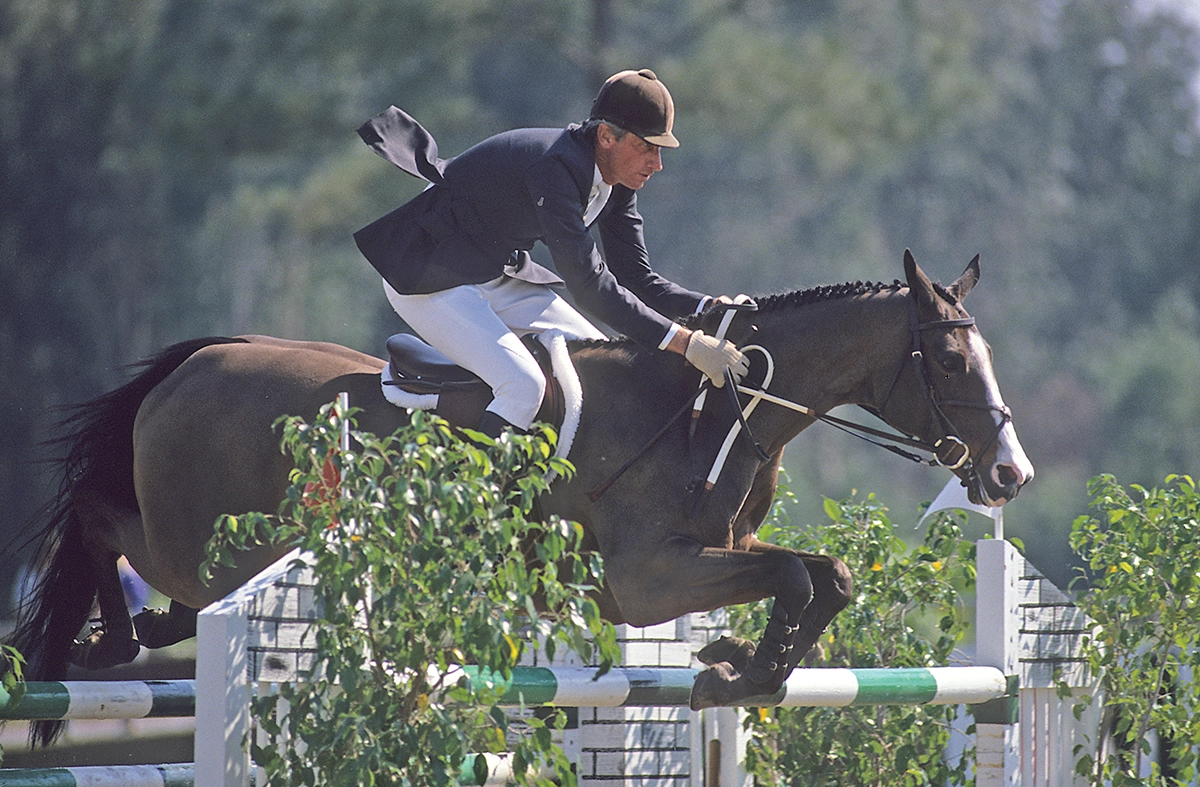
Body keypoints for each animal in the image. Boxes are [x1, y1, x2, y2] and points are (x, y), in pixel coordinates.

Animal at [8, 251, 1032, 745]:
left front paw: (744, 664)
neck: (718, 407)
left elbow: (825, 577)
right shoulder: (649, 580)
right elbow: (800, 576)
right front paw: (738, 669)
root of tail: (199, 359)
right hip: (206, 543)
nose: (1009, 474)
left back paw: (123, 632)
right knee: (104, 526)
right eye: (949, 360)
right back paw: (99, 637)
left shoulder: (704, 561)